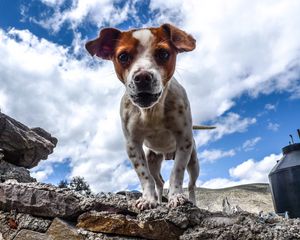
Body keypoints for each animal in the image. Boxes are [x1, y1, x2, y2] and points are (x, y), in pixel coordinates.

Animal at [86, 23, 202, 209]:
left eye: (164, 54)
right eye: (123, 56)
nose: (142, 77)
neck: (151, 111)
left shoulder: (184, 140)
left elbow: (177, 172)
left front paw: (176, 196)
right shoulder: (133, 145)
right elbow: (144, 176)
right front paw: (148, 199)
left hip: (193, 161)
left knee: (191, 184)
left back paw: (191, 201)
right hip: (153, 159)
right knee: (159, 181)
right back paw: (159, 200)